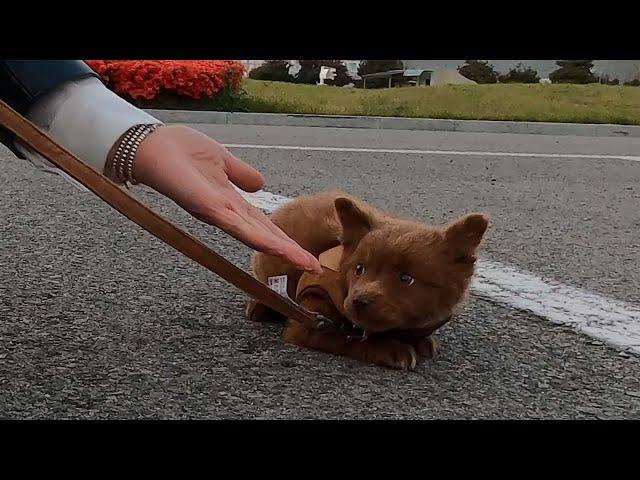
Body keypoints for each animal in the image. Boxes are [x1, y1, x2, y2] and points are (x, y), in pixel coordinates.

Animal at [248, 192, 488, 372]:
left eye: (406, 278)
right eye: (359, 269)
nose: (359, 301)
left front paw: (421, 342)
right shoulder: (308, 324)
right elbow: (349, 339)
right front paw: (392, 349)